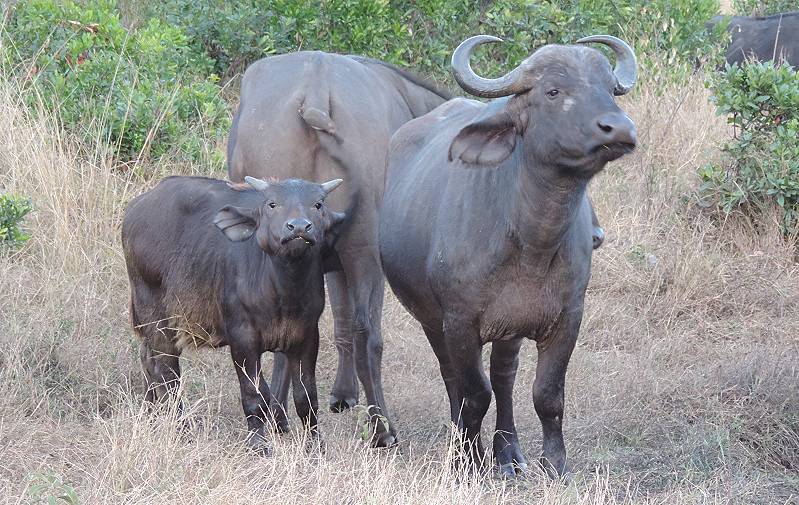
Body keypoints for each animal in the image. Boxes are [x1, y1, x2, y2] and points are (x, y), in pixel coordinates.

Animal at [121, 176, 344, 448]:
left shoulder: (308, 336)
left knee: (148, 360)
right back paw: (181, 428)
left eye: (318, 204)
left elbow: (307, 397)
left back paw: (151, 414)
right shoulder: (242, 339)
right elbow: (254, 395)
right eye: (272, 204)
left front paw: (315, 445)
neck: (284, 293)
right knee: (166, 371)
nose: (299, 227)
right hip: (155, 315)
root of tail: (136, 208)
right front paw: (259, 446)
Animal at [225, 51, 456, 444]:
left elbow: (339, 320)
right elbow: (354, 323)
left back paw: (278, 414)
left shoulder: (324, 262)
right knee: (368, 331)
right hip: (365, 248)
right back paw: (382, 428)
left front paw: (342, 395)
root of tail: (316, 88)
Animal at [380, 35, 636, 476]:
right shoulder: (459, 321)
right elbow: (473, 393)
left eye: (608, 88)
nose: (618, 128)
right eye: (553, 91)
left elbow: (547, 394)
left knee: (504, 378)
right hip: (430, 319)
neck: (531, 245)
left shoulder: (567, 317)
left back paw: (509, 454)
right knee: (454, 379)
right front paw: (467, 461)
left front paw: (553, 464)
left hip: (509, 330)